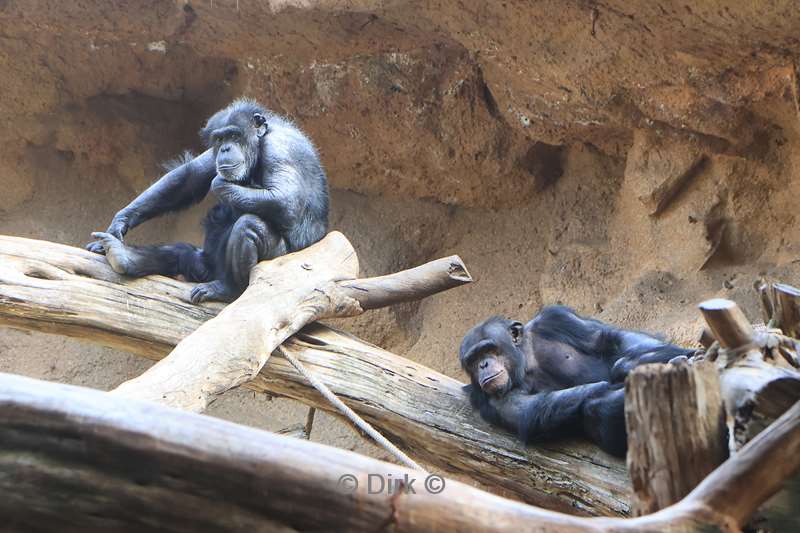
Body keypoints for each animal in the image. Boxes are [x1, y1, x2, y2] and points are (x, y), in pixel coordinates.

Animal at [91, 97, 332, 302]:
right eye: (219, 138)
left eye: (234, 136)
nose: (225, 148)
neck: (259, 143)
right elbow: (189, 176)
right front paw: (120, 221)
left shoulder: (280, 148)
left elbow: (285, 200)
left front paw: (219, 184)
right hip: (203, 266)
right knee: (180, 253)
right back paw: (121, 255)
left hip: (276, 260)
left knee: (248, 225)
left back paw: (228, 289)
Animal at [460, 306, 696, 456]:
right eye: (473, 360)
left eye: (489, 349)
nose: (483, 365)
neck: (525, 360)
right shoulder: (487, 399)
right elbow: (532, 409)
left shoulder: (555, 318)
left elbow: (610, 339)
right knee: (593, 408)